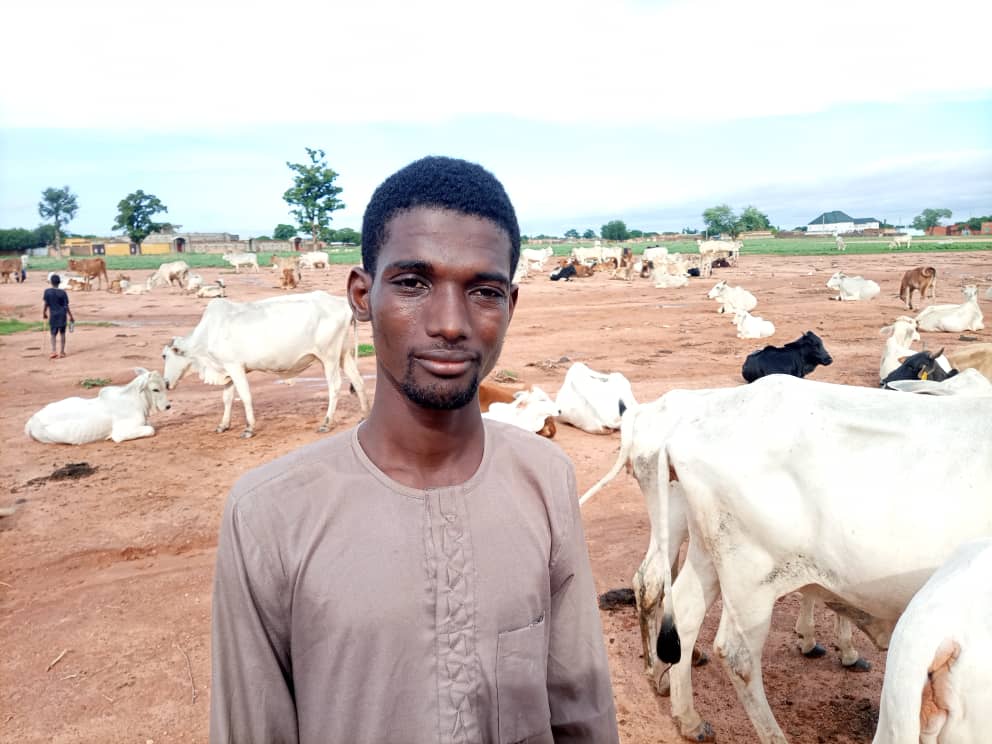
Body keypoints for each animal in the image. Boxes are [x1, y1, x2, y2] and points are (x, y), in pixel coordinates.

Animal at [24, 370, 170, 444]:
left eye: (165, 385)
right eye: (155, 389)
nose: (168, 406)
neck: (136, 400)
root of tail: (32, 420)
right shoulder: (120, 433)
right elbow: (150, 429)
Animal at [162, 290, 368, 436]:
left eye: (165, 356)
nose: (165, 382)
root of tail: (342, 303)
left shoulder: (235, 367)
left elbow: (245, 396)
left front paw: (249, 428)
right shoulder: (227, 370)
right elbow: (227, 398)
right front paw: (223, 425)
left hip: (329, 357)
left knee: (335, 386)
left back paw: (326, 422)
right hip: (343, 355)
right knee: (358, 382)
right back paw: (364, 415)